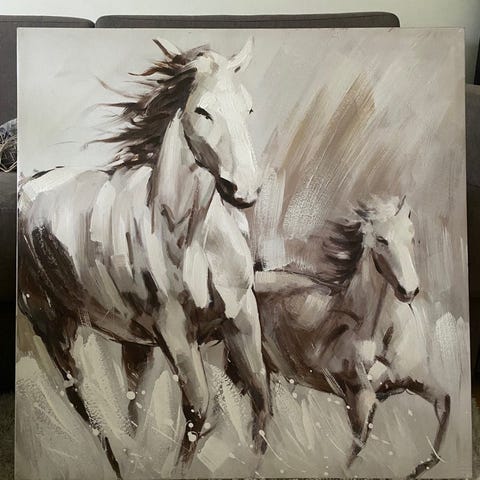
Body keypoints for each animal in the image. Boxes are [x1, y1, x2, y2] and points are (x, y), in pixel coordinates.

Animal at [17, 38, 270, 479]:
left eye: (249, 108)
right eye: (202, 111)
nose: (245, 190)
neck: (193, 238)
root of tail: (28, 184)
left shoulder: (242, 315)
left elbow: (259, 398)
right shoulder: (175, 332)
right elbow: (199, 412)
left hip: (133, 343)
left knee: (133, 404)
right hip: (52, 324)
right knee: (82, 401)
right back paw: (118, 463)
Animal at [254, 196, 450, 478]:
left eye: (411, 236)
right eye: (381, 239)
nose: (409, 290)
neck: (381, 336)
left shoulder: (416, 381)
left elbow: (445, 406)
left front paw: (417, 469)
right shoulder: (359, 397)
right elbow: (353, 453)